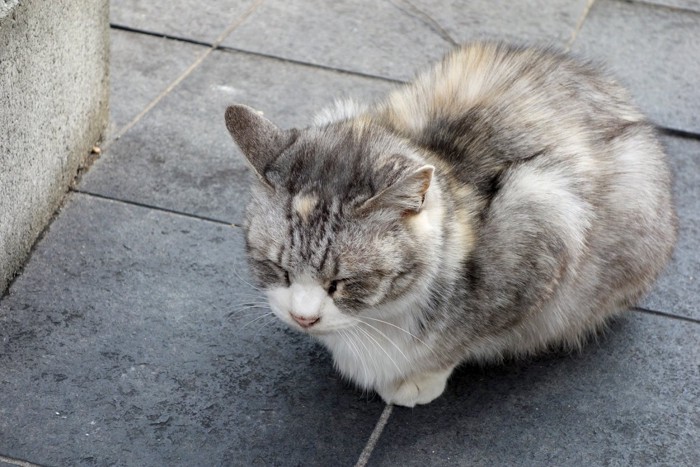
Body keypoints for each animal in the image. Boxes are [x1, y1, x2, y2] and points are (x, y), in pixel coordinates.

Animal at [224, 44, 680, 410]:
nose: (303, 319)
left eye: (343, 282)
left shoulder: (543, 218)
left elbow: (464, 338)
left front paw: (417, 378)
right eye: (278, 269)